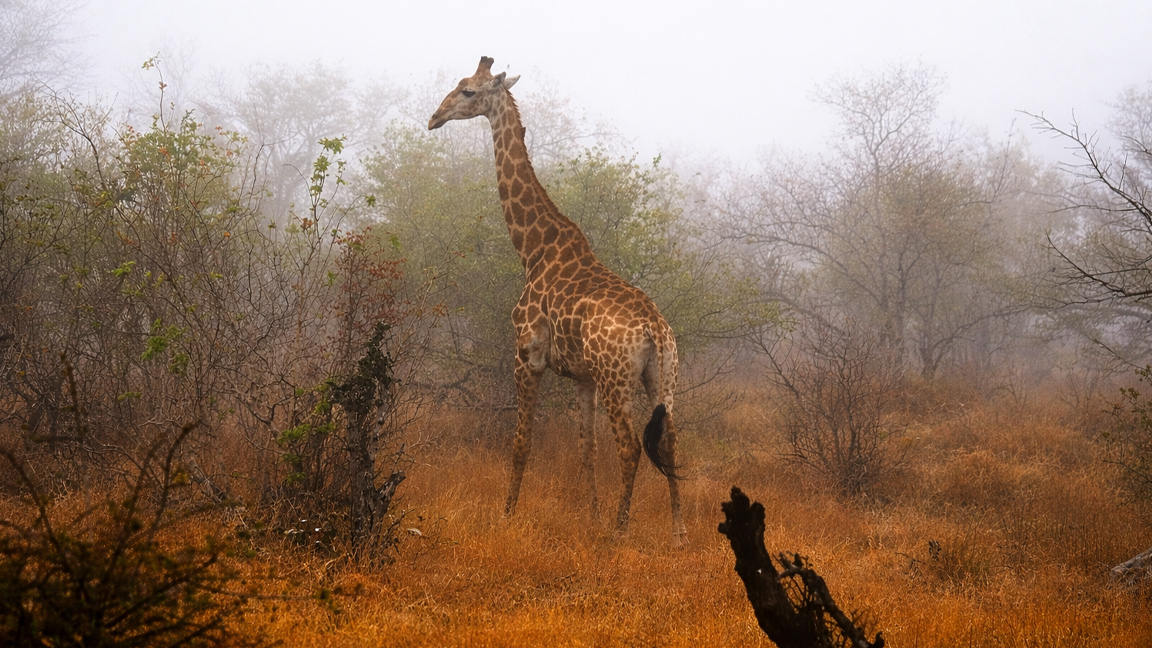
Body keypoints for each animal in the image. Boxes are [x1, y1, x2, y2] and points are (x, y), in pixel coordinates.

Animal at [429, 56, 687, 545]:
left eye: (468, 91)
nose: (434, 118)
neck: (532, 249)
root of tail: (654, 329)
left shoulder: (526, 355)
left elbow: (521, 442)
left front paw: (507, 515)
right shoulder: (582, 377)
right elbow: (585, 448)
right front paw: (592, 516)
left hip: (616, 378)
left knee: (630, 447)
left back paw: (621, 532)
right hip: (662, 377)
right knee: (669, 441)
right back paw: (678, 536)